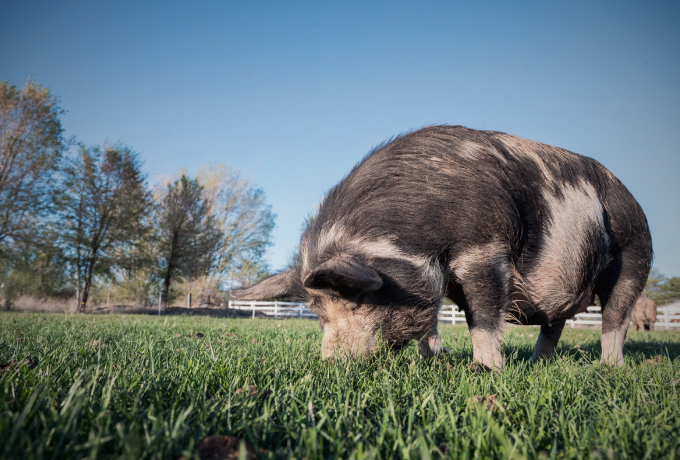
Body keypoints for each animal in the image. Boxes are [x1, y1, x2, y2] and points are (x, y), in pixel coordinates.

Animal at [230, 124, 652, 368]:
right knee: (555, 324)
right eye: (317, 311)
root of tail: (633, 199)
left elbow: (482, 315)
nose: (330, 364)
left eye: (356, 299)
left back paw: (609, 368)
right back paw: (538, 363)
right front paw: (434, 359)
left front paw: (485, 370)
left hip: (634, 254)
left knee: (616, 317)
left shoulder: (484, 248)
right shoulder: (435, 276)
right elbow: (431, 318)